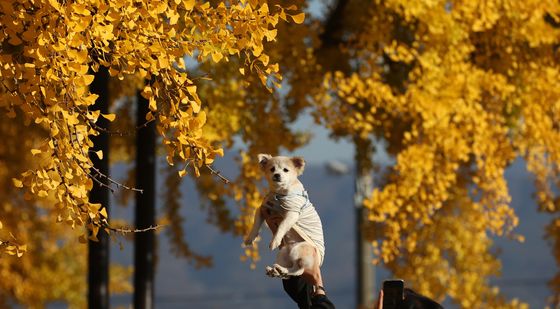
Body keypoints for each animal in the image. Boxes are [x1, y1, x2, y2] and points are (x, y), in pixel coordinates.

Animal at [243, 153, 326, 292]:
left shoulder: (292, 213)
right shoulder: (262, 209)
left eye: (286, 170)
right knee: (291, 272)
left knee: (299, 269)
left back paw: (280, 270)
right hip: (283, 253)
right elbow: (256, 224)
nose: (277, 175)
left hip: (300, 248)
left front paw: (275, 241)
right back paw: (277, 271)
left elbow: (282, 226)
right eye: (272, 169)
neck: (279, 194)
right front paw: (250, 238)